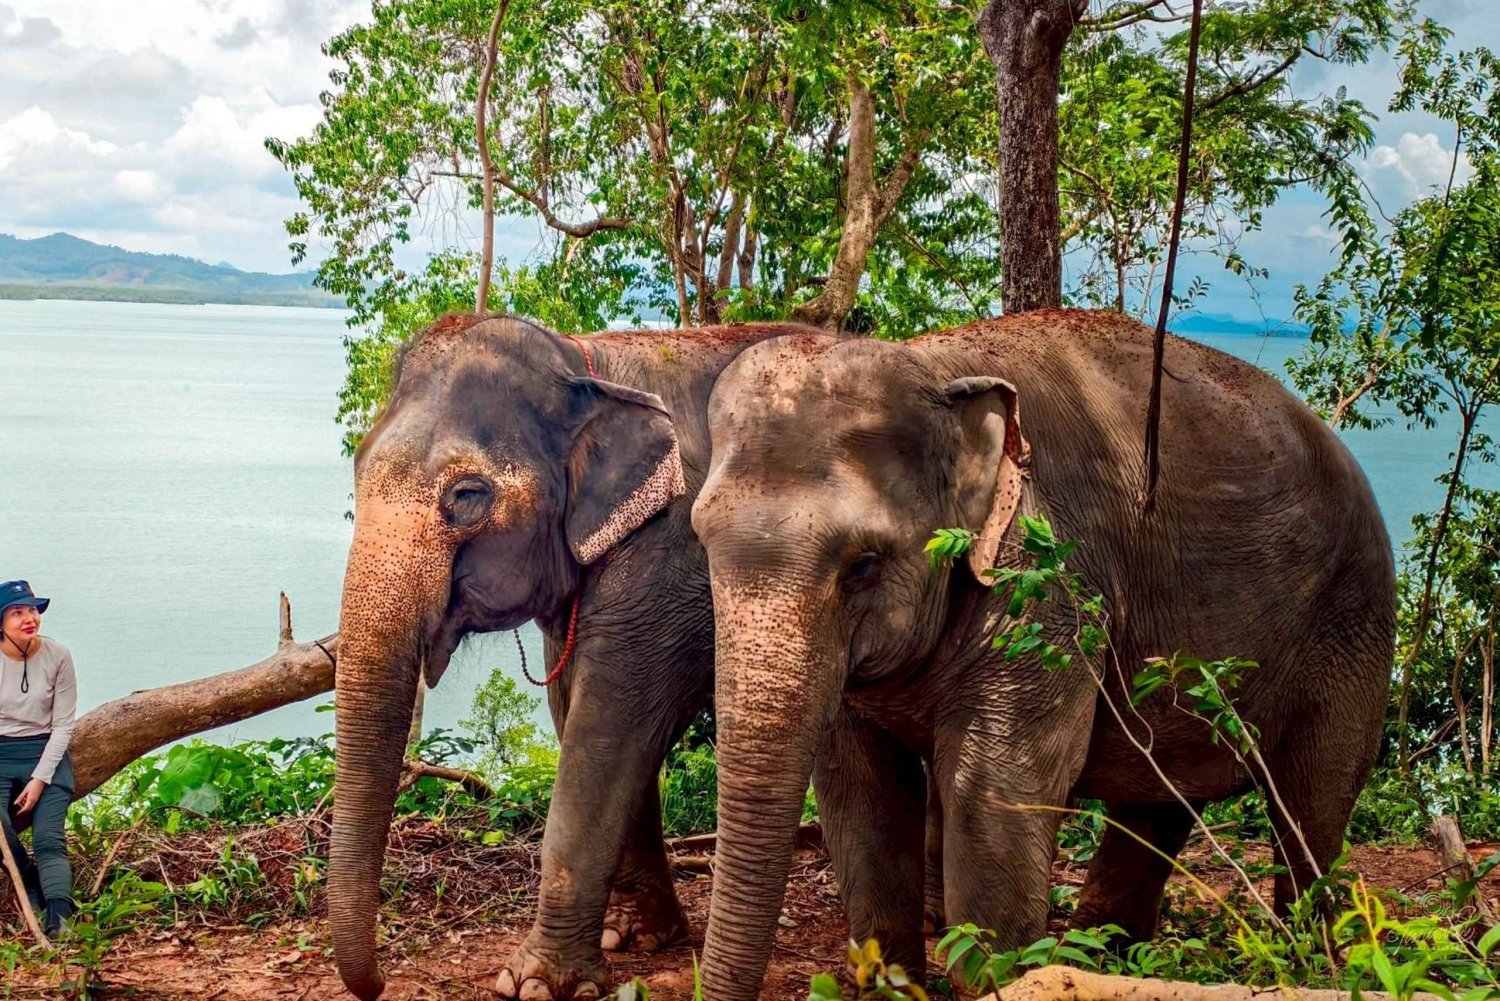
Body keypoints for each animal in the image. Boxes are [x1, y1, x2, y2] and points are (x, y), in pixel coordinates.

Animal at [329, 313, 823, 1001]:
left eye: (468, 497)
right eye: (355, 467)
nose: (379, 981)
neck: (591, 362)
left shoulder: (670, 554)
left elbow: (609, 723)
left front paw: (535, 984)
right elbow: (579, 715)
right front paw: (636, 938)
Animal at [688, 309, 1395, 1001]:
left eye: (863, 565)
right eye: (700, 538)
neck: (933, 365)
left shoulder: (1049, 576)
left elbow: (996, 786)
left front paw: (1008, 980)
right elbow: (859, 788)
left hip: (1353, 619)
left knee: (1311, 805)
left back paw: (1315, 963)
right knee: (1162, 798)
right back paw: (1109, 958)